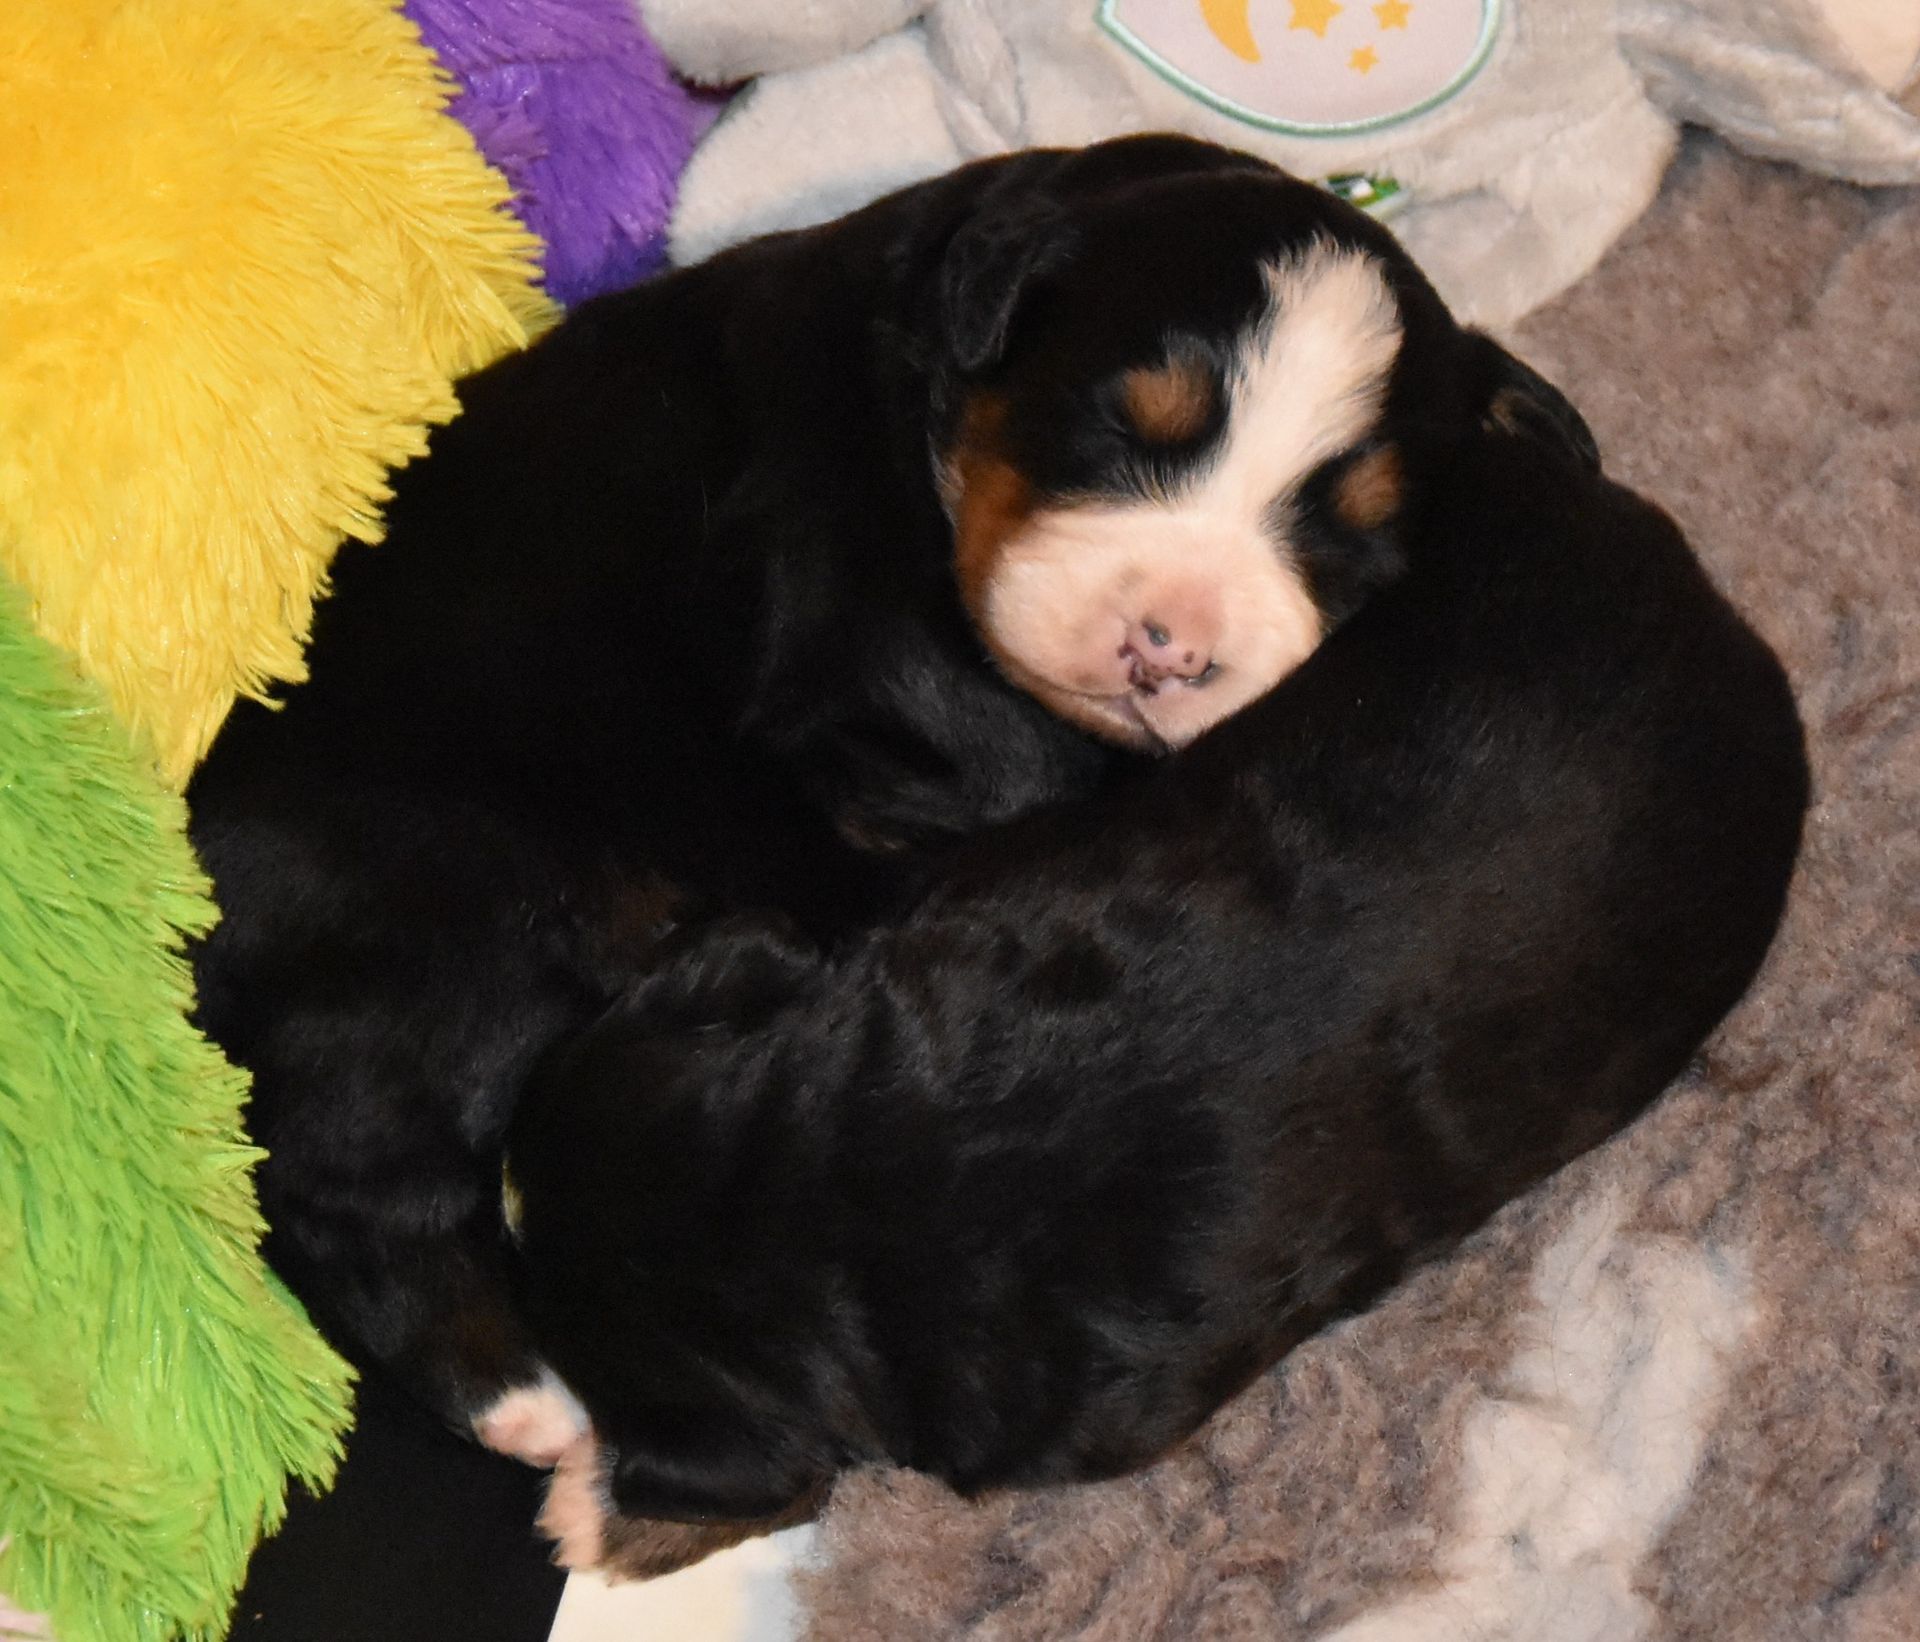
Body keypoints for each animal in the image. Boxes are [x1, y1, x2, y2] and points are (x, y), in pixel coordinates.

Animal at [186, 133, 1640, 1493]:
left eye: (1347, 533)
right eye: (1122, 428)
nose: (1167, 645)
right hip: (469, 915)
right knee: (348, 1186)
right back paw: (529, 1398)